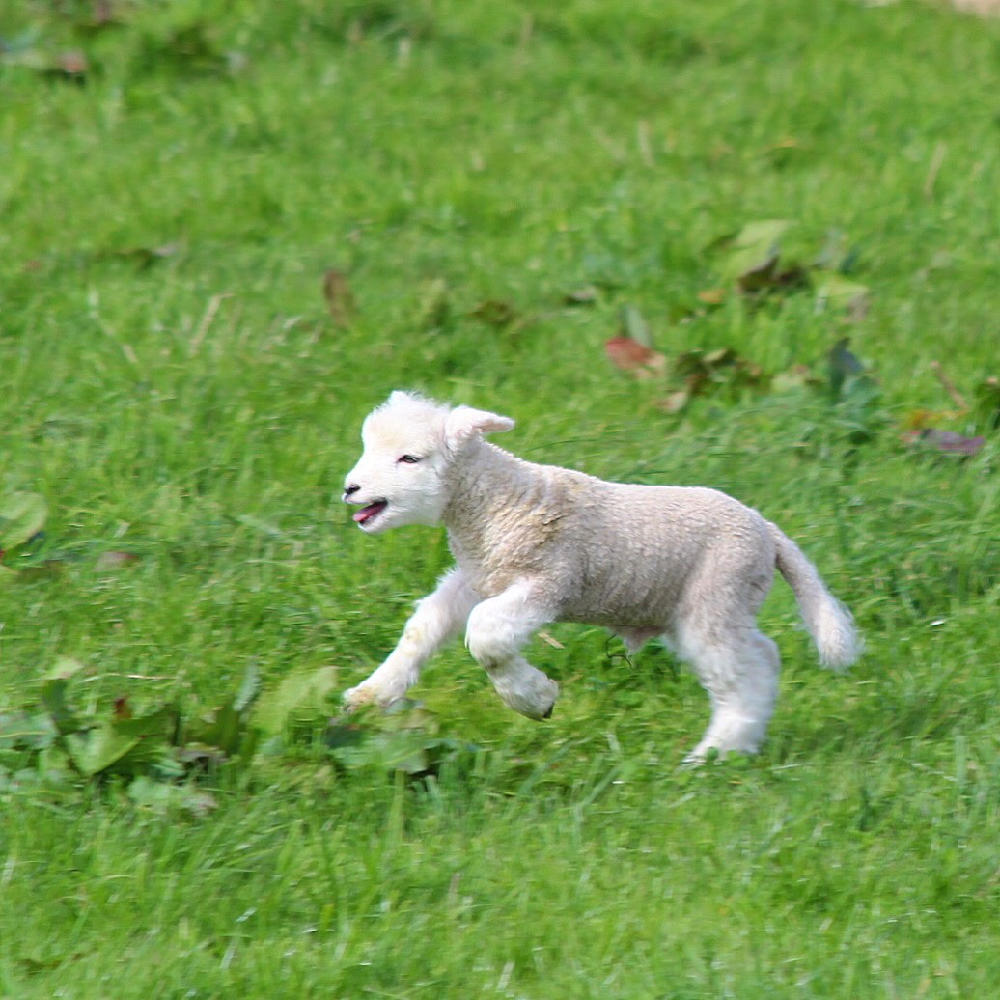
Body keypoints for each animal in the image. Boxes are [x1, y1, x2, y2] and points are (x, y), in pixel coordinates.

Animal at [342, 388, 860, 756]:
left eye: (410, 458)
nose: (350, 489)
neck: (493, 503)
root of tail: (766, 529)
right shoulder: (478, 579)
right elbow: (425, 626)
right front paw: (371, 695)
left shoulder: (550, 579)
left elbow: (487, 636)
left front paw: (534, 698)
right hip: (708, 603)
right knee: (762, 656)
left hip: (717, 592)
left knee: (742, 672)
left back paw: (714, 756)